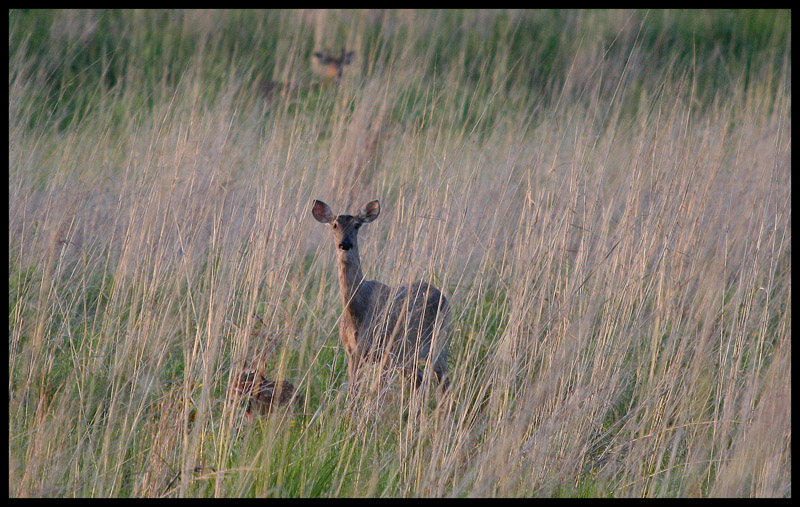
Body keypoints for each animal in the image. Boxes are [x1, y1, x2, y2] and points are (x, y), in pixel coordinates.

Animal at [310, 198, 450, 392]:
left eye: (357, 225)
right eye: (334, 224)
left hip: (438, 343)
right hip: (409, 356)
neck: (357, 311)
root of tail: (443, 296)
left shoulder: (385, 351)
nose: (345, 244)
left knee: (445, 383)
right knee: (420, 380)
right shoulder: (353, 352)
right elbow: (353, 391)